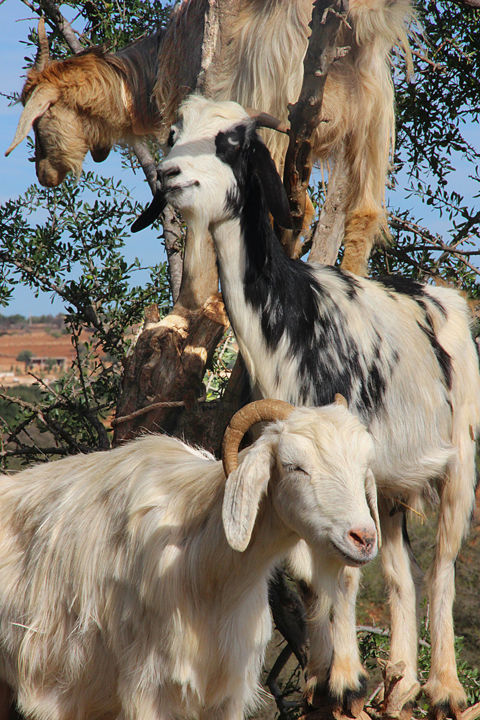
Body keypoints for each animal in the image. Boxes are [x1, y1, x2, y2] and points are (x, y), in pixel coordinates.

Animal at [132, 97, 480, 720]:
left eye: (231, 141)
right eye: (173, 133)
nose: (169, 175)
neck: (292, 316)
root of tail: (441, 297)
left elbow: (342, 570)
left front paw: (343, 680)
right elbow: (310, 569)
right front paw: (324, 677)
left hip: (459, 457)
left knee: (442, 563)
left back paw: (444, 689)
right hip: (391, 486)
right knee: (400, 572)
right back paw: (401, 682)